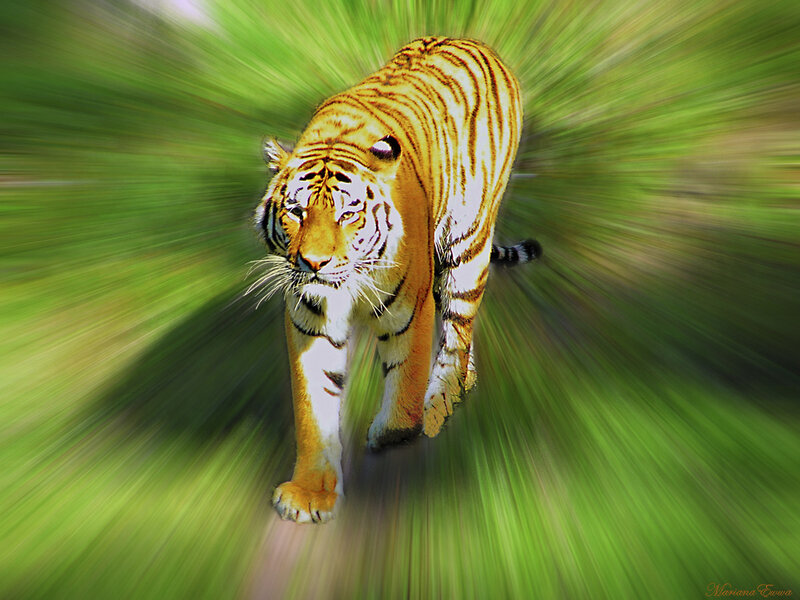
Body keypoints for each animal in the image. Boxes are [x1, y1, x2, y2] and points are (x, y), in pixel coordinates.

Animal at [252, 37, 540, 523]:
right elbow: (315, 408)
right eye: (296, 211)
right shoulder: (311, 323)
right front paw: (310, 493)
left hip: (467, 245)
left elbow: (406, 381)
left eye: (347, 214)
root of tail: (476, 41)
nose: (314, 263)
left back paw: (441, 403)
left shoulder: (411, 308)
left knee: (457, 335)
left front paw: (392, 432)